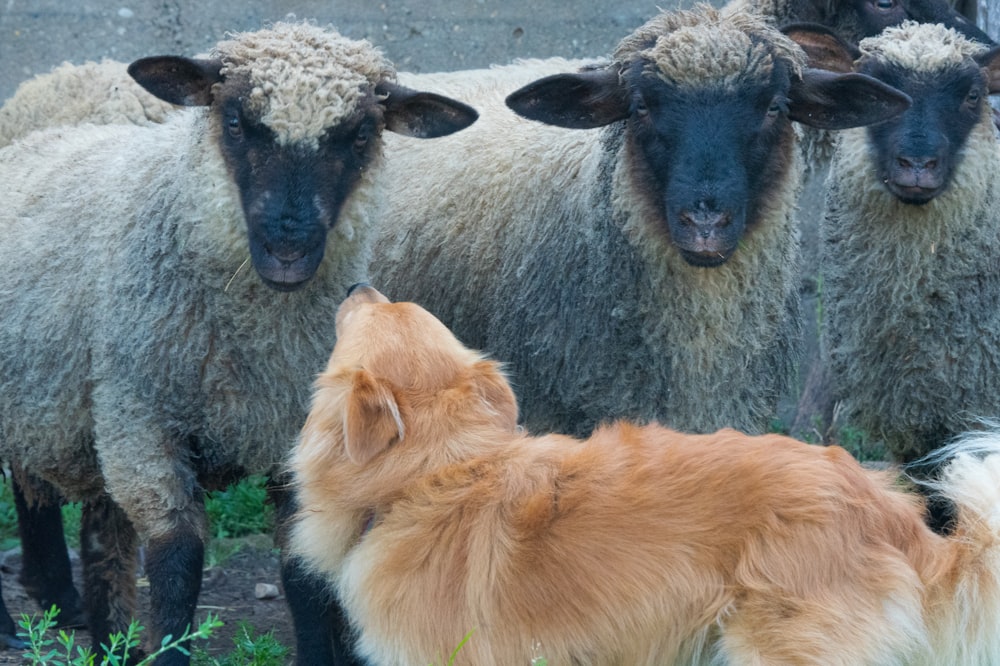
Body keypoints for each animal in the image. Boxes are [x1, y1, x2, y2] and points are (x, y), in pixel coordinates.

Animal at [0, 20, 480, 664]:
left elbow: (303, 570)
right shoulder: (141, 419)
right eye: (233, 120)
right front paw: (171, 650)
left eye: (359, 134)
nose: (288, 248)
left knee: (100, 532)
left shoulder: (293, 427)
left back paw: (106, 641)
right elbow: (177, 560)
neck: (253, 342)